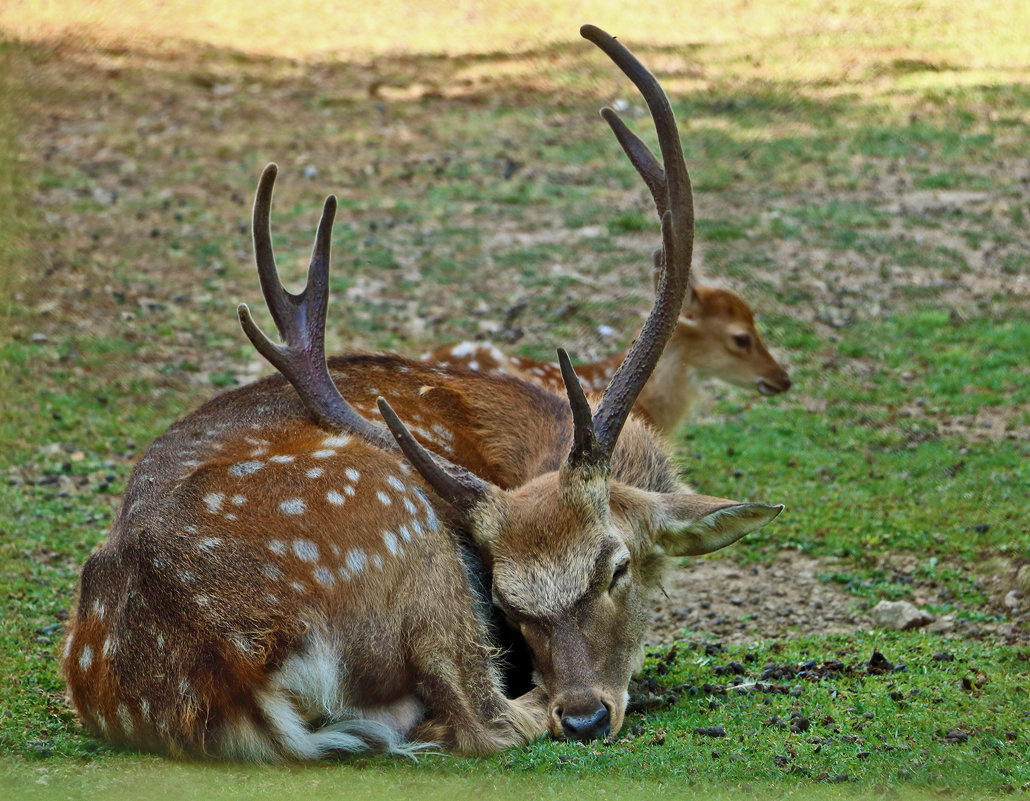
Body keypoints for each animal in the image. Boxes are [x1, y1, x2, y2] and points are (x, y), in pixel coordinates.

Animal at [62, 24, 778, 757]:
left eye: (616, 568)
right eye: (506, 603)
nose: (585, 716)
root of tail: (227, 672)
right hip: (407, 530)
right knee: (476, 720)